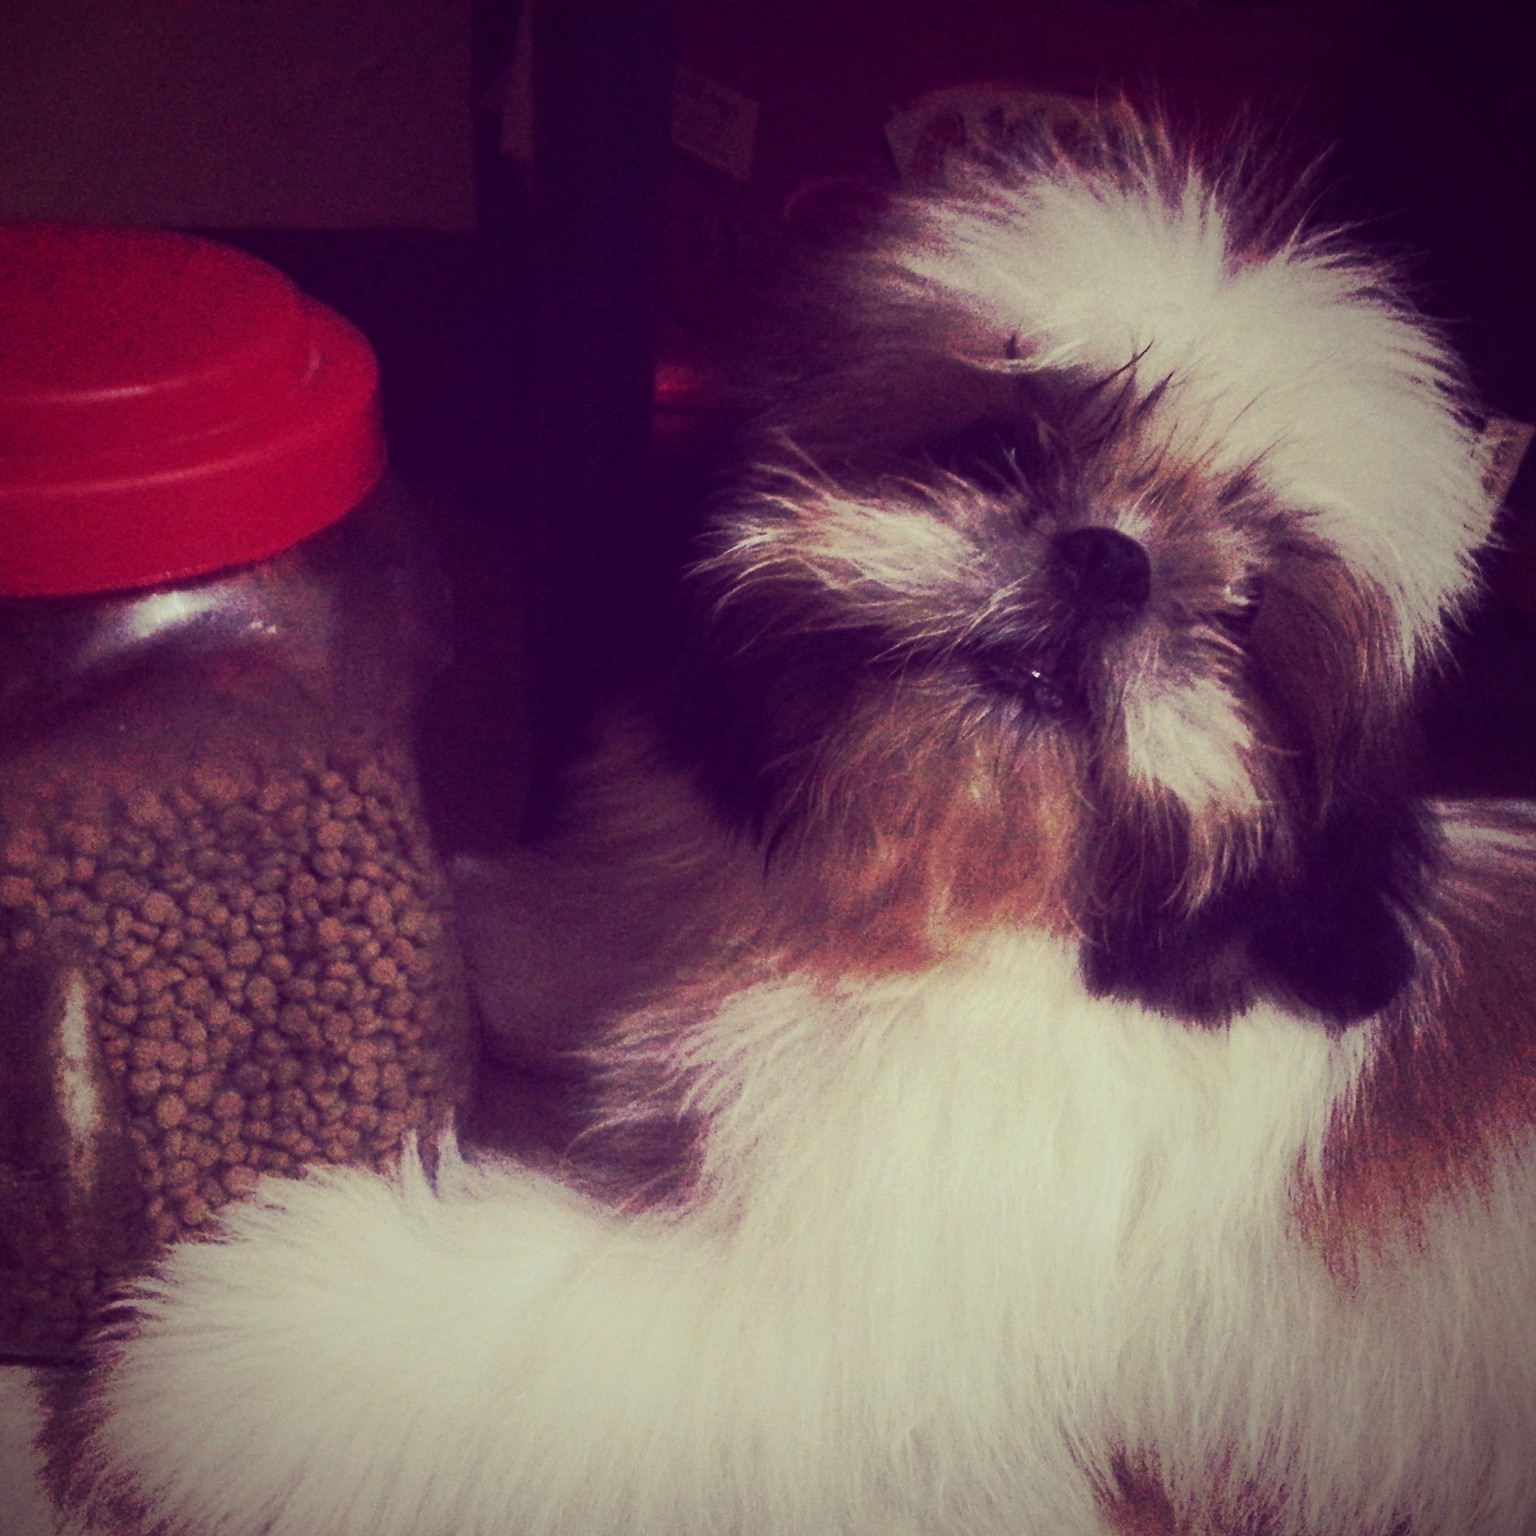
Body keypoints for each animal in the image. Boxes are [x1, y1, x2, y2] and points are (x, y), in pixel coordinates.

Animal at [52, 110, 1536, 1536]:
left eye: (1246, 617)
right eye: (997, 448)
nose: (1108, 560)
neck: (943, 910)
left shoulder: (820, 1315)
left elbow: (538, 1344)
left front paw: (215, 1341)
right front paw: (497, 935)